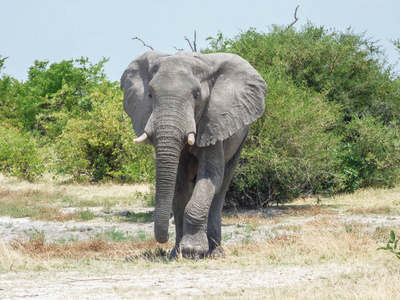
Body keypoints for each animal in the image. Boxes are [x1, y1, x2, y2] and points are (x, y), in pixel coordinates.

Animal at [120, 50, 268, 256]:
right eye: (149, 94)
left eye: (197, 95)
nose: (163, 239)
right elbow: (179, 186)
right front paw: (179, 254)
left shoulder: (213, 121)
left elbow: (210, 176)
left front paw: (193, 249)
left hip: (241, 137)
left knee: (221, 188)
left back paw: (215, 253)